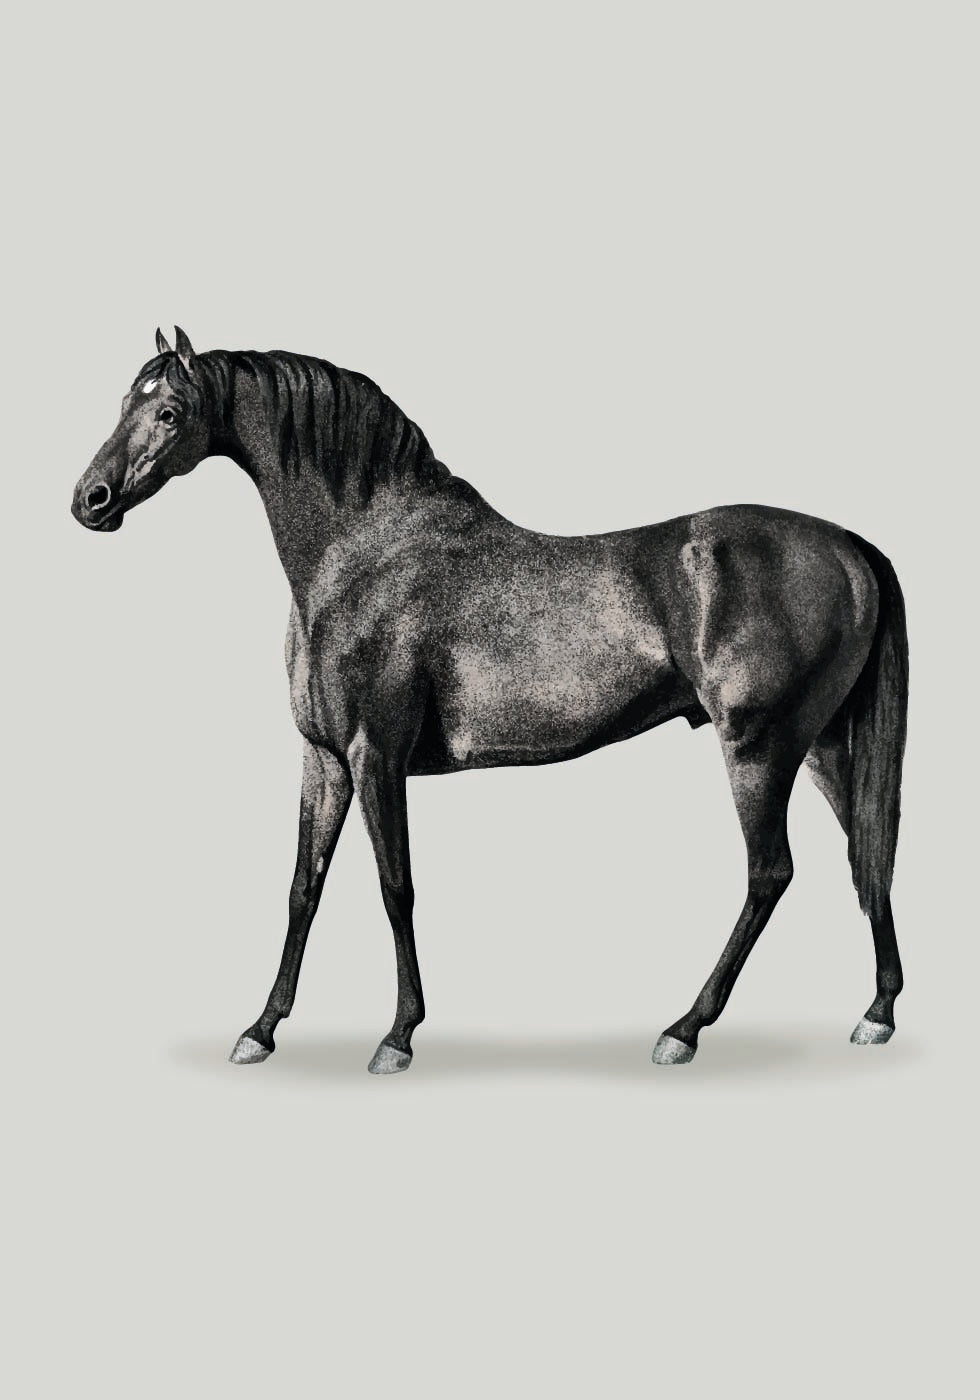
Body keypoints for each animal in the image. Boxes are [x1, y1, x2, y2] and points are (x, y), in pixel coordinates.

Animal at [71, 328, 908, 1073]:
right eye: (124, 400)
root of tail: (846, 545)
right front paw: (261, 1030)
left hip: (759, 749)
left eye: (169, 411)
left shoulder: (377, 757)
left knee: (771, 874)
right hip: (824, 747)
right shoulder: (324, 760)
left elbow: (395, 887)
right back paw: (876, 1013)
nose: (90, 499)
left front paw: (398, 1037)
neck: (364, 554)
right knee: (866, 856)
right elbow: (302, 889)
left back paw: (684, 1029)